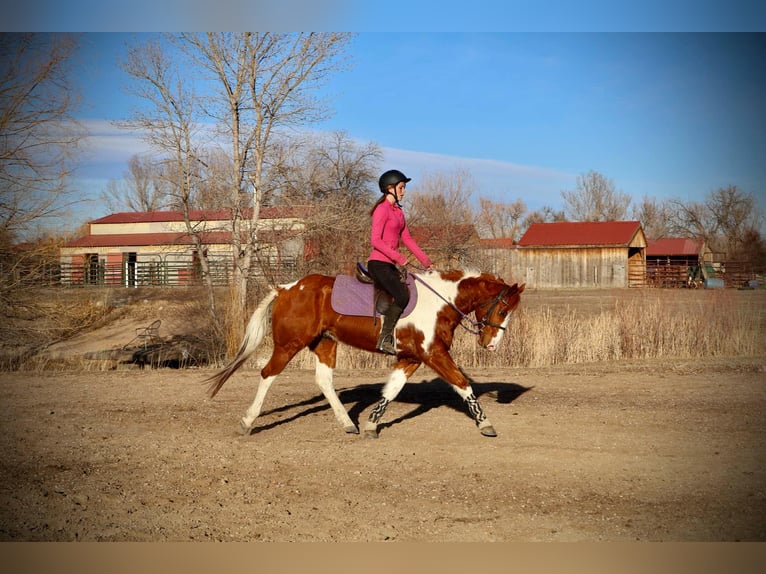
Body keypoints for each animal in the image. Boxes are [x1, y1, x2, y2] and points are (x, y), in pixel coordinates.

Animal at [204, 268, 525, 438]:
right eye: (503, 310)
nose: (491, 345)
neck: (440, 301)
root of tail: (286, 288)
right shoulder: (433, 353)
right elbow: (462, 384)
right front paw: (485, 423)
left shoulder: (411, 358)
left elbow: (392, 390)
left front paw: (371, 423)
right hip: (289, 344)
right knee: (268, 374)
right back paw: (248, 421)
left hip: (325, 343)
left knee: (324, 381)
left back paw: (348, 423)